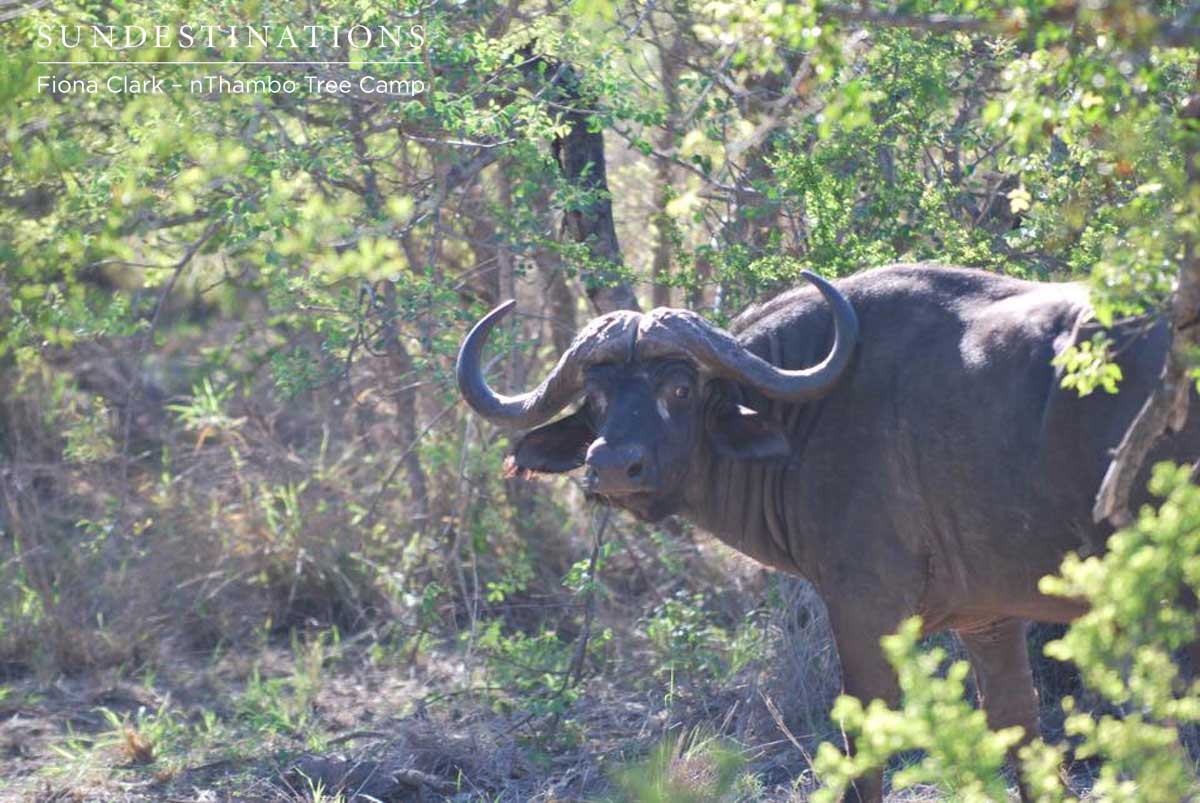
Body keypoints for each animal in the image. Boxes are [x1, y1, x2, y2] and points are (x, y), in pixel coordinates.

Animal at [455, 263, 1200, 802]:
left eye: (679, 388)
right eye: (597, 396)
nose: (611, 466)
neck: (809, 414)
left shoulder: (865, 606)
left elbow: (862, 747)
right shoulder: (990, 619)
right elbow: (1021, 736)